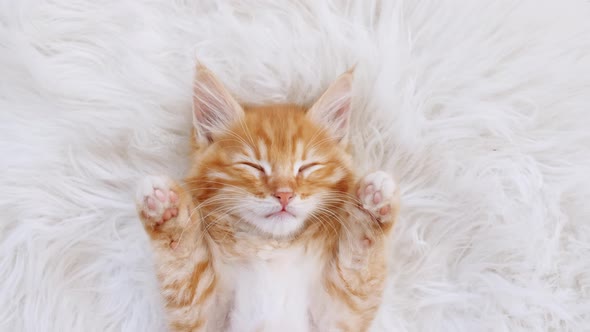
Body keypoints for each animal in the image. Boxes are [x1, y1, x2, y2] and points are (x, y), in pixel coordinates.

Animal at [136, 63, 400, 330]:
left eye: (306, 167)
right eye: (253, 166)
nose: (284, 194)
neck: (273, 249)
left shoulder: (339, 315)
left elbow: (358, 268)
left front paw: (371, 206)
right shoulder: (204, 318)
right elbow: (185, 271)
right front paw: (167, 212)